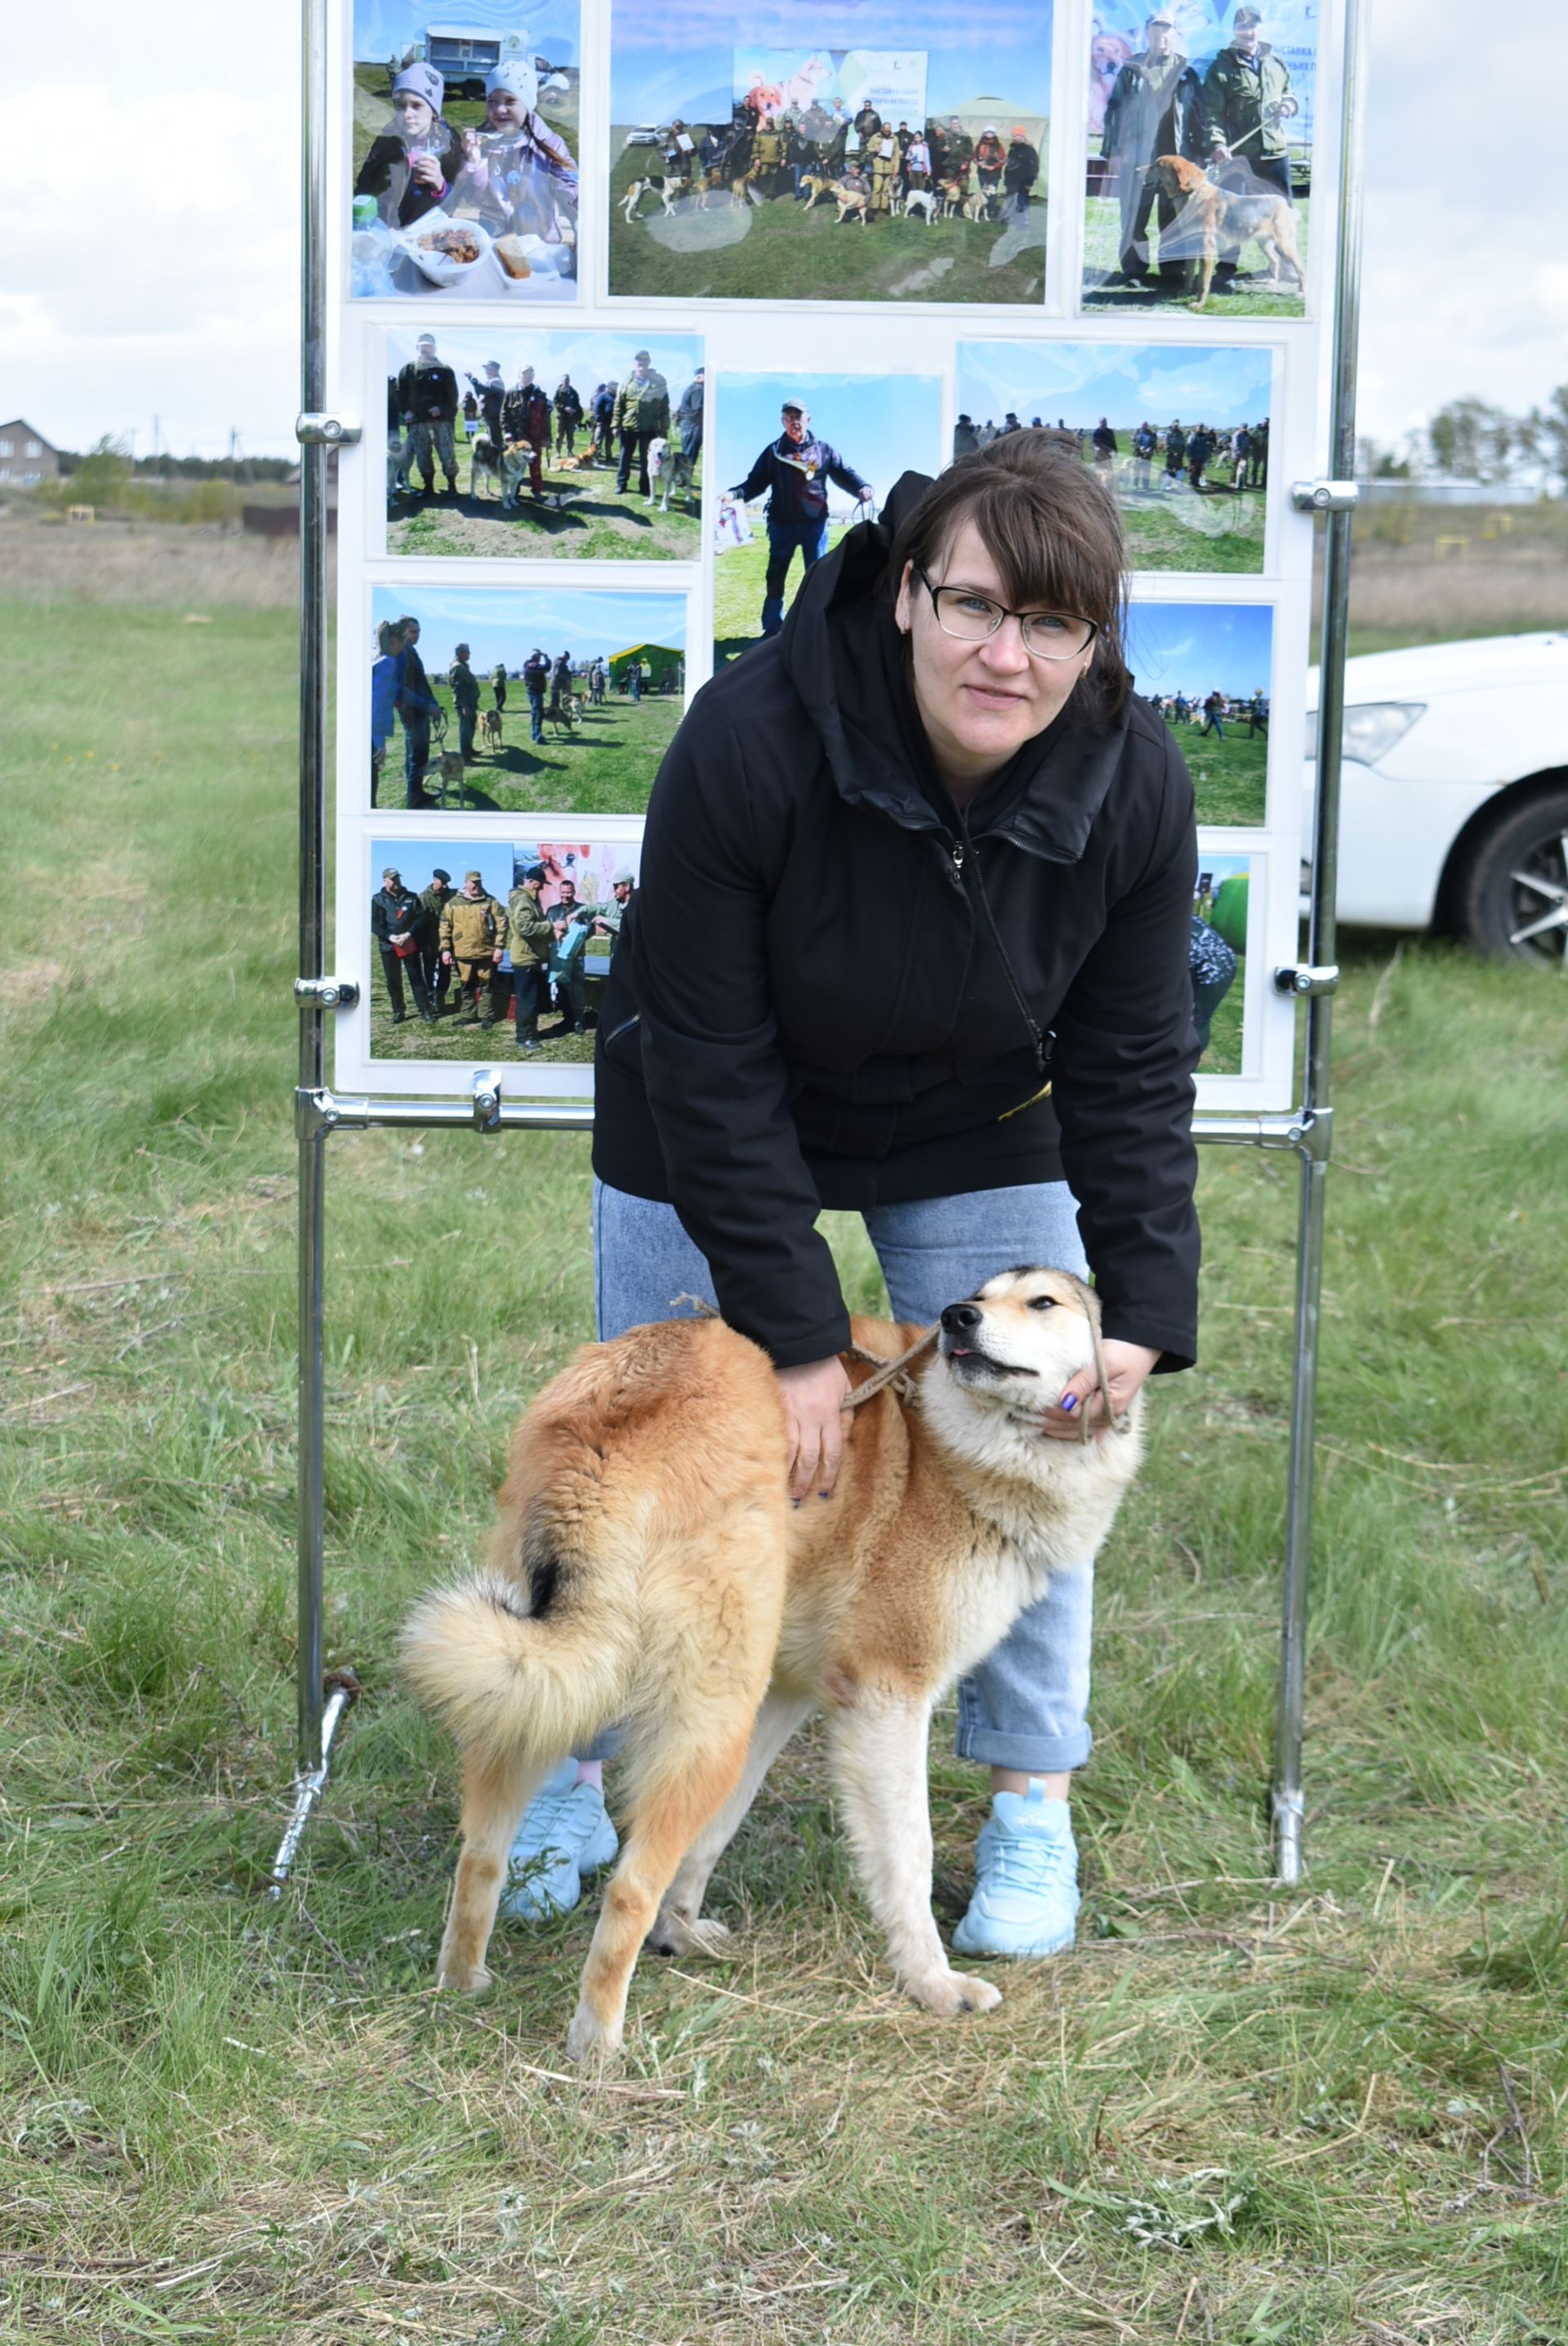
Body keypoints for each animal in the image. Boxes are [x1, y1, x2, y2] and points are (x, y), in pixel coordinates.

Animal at [400, 1276, 1138, 2064]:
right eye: (985, 1297)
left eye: (1042, 1303)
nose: (956, 1318)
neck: (944, 1441)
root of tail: (619, 1408)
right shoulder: (886, 1701)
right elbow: (907, 1859)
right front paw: (933, 1984)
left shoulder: (783, 1694)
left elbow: (715, 1834)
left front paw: (679, 1933)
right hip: (705, 1719)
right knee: (627, 1889)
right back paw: (597, 2046)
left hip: (553, 1678)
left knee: (482, 1853)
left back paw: (463, 1983)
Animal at [1143, 151, 1303, 310]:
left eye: (1158, 165)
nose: (1139, 170)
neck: (1193, 194)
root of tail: (1283, 203)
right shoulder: (1191, 248)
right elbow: (1189, 275)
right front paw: (1185, 293)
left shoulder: (1206, 250)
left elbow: (1203, 282)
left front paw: (1199, 304)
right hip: (1264, 244)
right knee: (1275, 259)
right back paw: (1273, 281)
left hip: (1285, 245)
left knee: (1301, 268)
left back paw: (1301, 292)